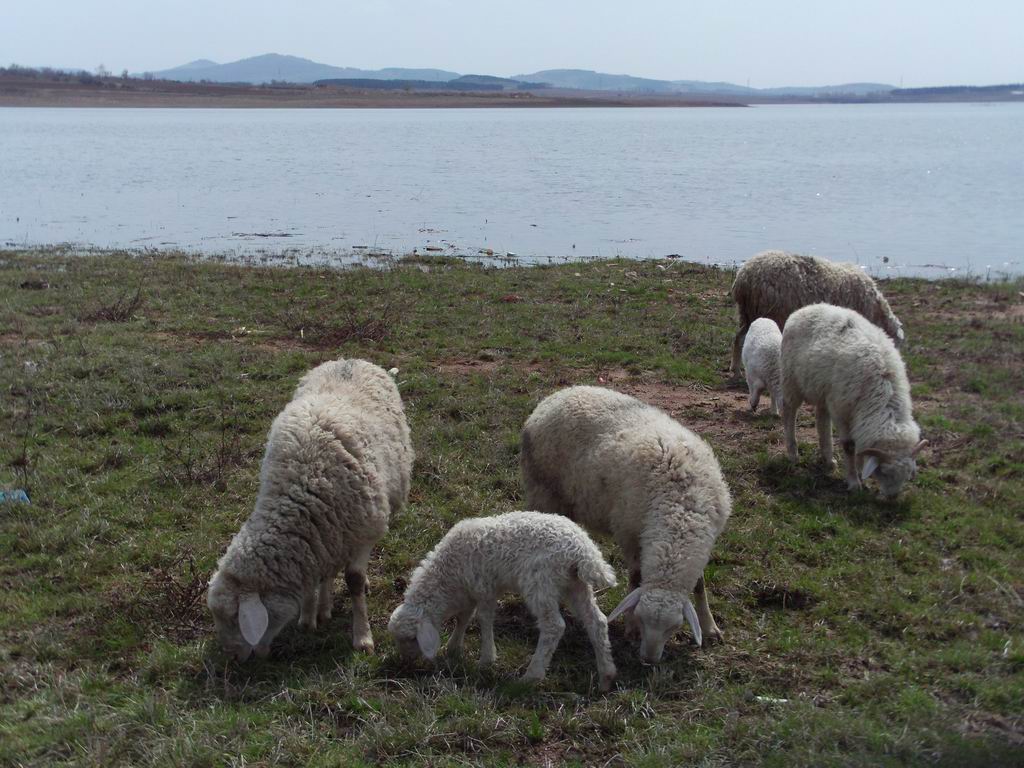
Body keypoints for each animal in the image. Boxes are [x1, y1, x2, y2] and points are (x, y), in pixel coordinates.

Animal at [205, 360, 413, 663]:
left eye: (236, 619)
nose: (232, 659)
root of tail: (350, 358)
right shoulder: (322, 534)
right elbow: (319, 575)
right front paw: (309, 616)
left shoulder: (361, 531)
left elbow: (353, 580)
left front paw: (362, 637)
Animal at [385, 512, 614, 692]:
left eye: (411, 638)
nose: (405, 662)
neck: (448, 573)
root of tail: (584, 552)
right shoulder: (469, 591)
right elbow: (463, 617)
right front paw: (453, 647)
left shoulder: (484, 587)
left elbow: (483, 619)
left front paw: (486, 659)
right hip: (576, 585)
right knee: (597, 622)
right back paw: (606, 675)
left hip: (541, 583)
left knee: (553, 626)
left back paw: (531, 676)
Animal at [524, 387, 733, 663]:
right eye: (644, 621)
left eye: (675, 627)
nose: (649, 659)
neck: (680, 510)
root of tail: (555, 396)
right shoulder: (630, 533)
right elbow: (635, 577)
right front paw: (631, 627)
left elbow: (699, 584)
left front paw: (710, 628)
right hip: (543, 492)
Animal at [729, 249, 905, 376]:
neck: (875, 312)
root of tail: (744, 278)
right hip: (770, 312)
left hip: (748, 313)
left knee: (738, 338)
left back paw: (736, 370)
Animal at [782, 303, 929, 499]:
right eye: (883, 472)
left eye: (906, 475)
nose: (892, 498)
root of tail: (808, 307)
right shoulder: (842, 411)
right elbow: (849, 446)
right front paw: (853, 482)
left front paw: (859, 474)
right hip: (791, 380)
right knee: (789, 411)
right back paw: (793, 453)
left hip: (824, 390)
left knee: (821, 418)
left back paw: (828, 459)